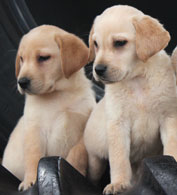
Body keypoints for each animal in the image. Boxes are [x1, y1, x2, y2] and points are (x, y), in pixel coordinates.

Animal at [1, 24, 95, 190]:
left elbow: (77, 153)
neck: (59, 94)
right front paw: (30, 181)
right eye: (22, 59)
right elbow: (34, 157)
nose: (21, 82)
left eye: (43, 58)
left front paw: (74, 170)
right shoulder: (35, 131)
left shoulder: (84, 128)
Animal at [69, 4, 177, 195]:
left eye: (119, 43)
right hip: (95, 159)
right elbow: (119, 160)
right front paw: (118, 183)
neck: (137, 80)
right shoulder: (118, 125)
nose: (98, 69)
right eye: (95, 44)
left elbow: (172, 148)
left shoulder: (169, 118)